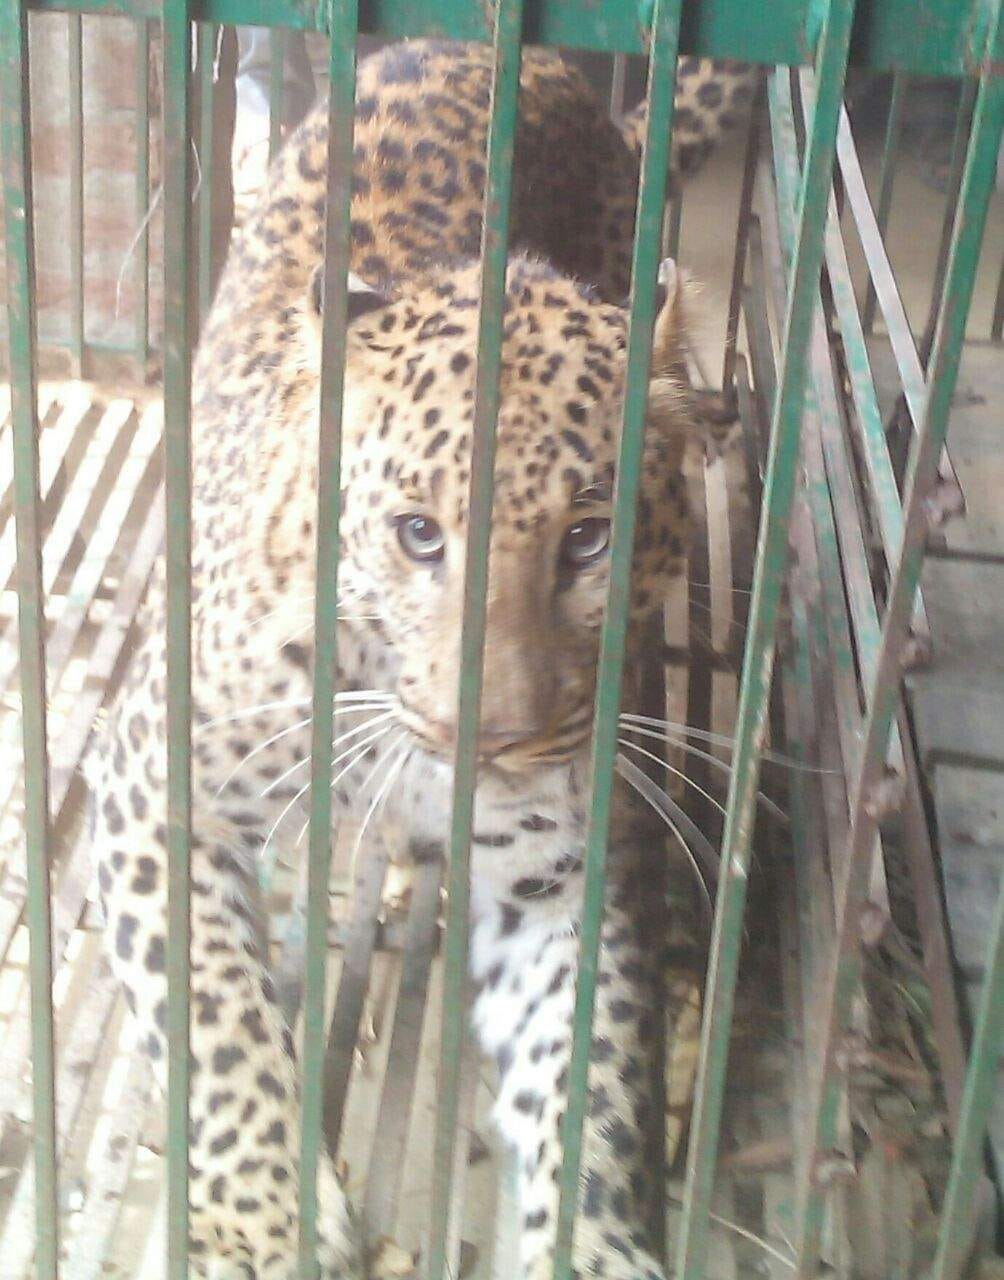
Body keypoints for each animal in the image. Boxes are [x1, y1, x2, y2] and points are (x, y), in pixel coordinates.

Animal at [85, 38, 740, 1279]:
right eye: (418, 534)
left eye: (588, 538)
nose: (494, 735)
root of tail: (502, 46)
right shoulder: (152, 786)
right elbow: (211, 1015)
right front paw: (267, 1218)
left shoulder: (561, 873)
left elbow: (589, 1077)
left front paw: (592, 1244)